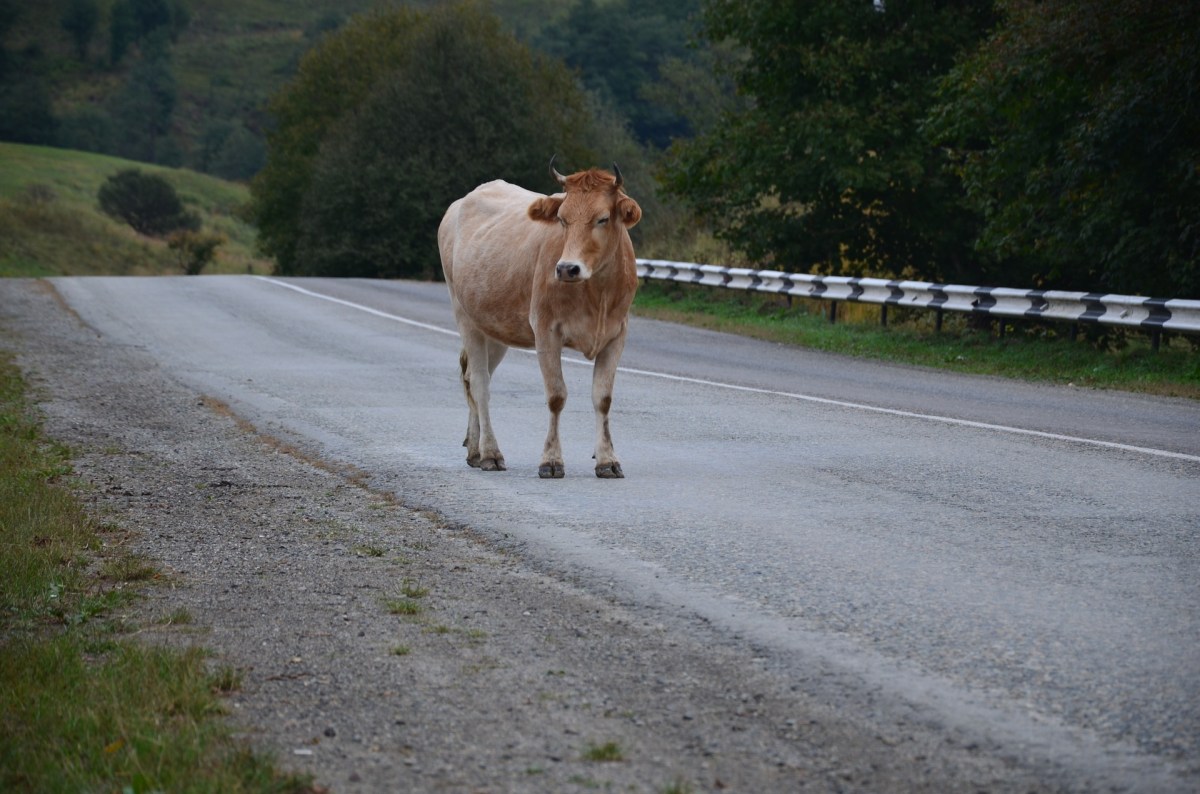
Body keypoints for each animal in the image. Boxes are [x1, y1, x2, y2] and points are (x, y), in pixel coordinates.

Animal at [439, 161, 643, 479]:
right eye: (562, 219)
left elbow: (603, 398)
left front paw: (607, 460)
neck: (597, 293)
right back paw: (490, 453)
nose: (567, 268)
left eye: (603, 219)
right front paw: (551, 461)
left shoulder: (616, 335)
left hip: (495, 326)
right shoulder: (546, 331)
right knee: (480, 384)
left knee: (473, 376)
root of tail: (461, 202)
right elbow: (556, 396)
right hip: (464, 316)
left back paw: (474, 450)